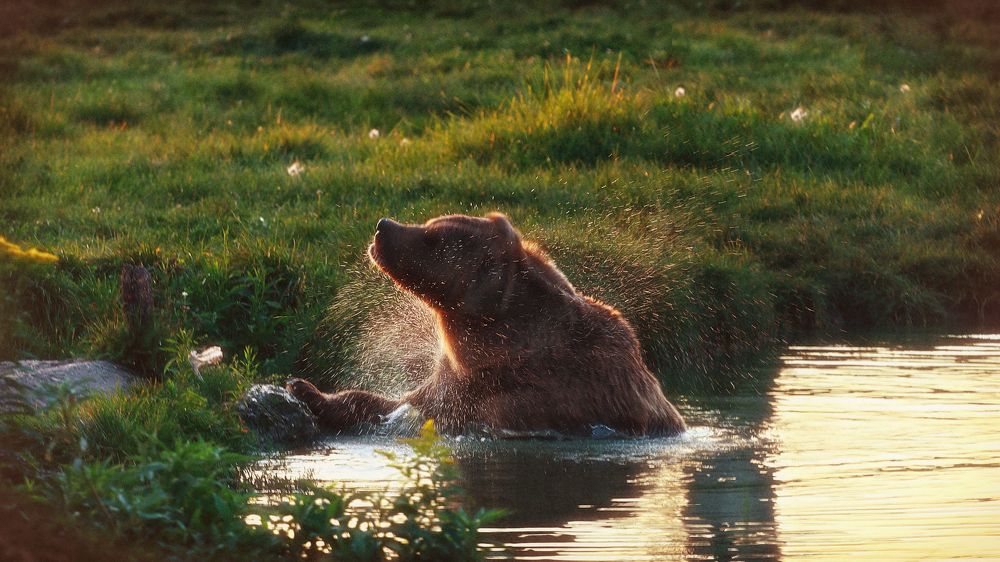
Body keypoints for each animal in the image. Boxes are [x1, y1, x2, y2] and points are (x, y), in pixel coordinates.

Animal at [287, 213, 685, 436]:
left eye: (435, 237)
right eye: (431, 222)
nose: (383, 227)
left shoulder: (541, 396)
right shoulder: (453, 379)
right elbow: (392, 404)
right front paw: (305, 388)